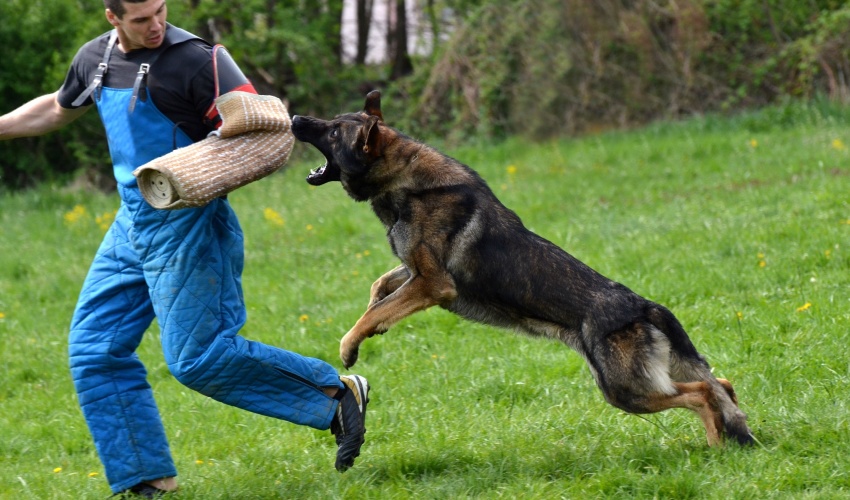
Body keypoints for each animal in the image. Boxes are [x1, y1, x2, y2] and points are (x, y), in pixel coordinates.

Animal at [292, 90, 748, 446]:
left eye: (333, 132)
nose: (295, 118)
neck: (403, 178)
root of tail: (644, 306)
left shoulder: (433, 284)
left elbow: (373, 312)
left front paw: (350, 345)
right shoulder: (415, 272)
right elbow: (380, 289)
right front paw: (372, 321)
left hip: (624, 390)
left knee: (701, 393)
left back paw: (715, 446)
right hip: (641, 382)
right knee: (720, 385)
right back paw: (730, 438)